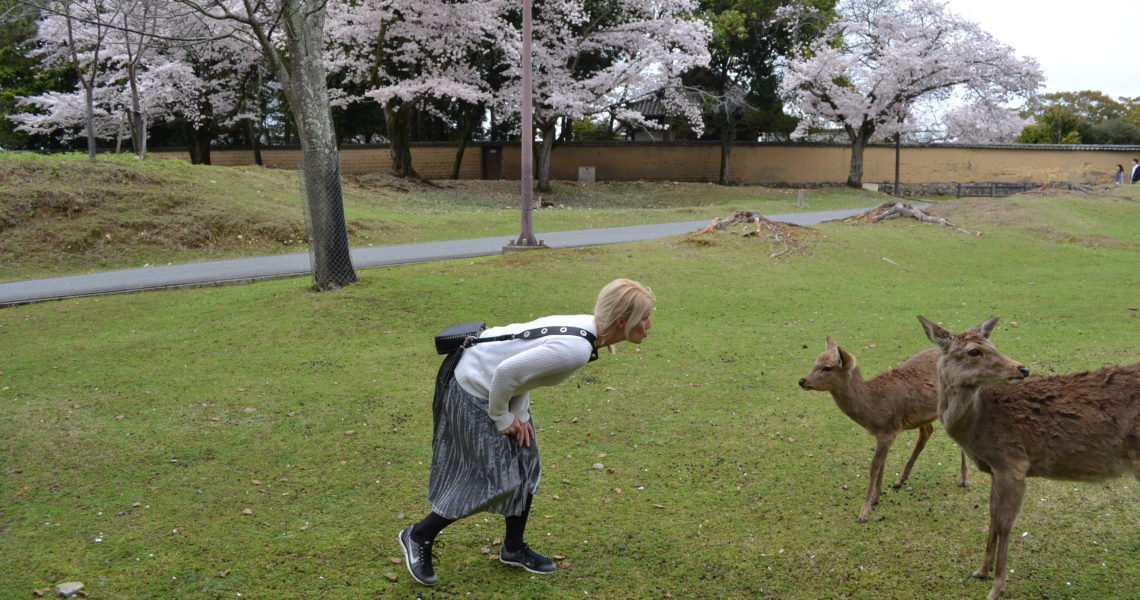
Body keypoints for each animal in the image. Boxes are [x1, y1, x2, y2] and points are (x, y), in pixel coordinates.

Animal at [798, 337, 966, 526]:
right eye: (815, 362)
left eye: (827, 367)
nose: (802, 381)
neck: (873, 410)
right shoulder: (883, 434)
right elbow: (882, 465)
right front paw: (875, 499)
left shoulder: (888, 432)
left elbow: (874, 467)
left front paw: (863, 513)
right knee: (927, 432)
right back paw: (900, 480)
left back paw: (964, 479)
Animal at [916, 317, 1140, 597]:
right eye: (974, 351)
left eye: (994, 345)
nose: (1022, 368)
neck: (976, 427)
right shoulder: (995, 468)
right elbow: (992, 514)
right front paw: (981, 570)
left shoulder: (1012, 462)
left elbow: (1005, 523)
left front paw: (996, 587)